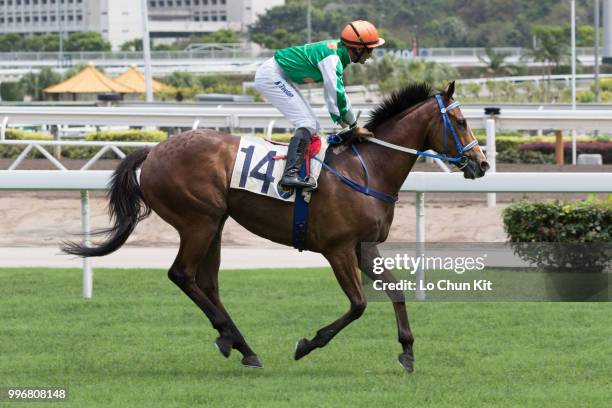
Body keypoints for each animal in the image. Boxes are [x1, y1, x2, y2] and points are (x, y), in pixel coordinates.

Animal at [63, 80, 488, 372]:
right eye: (462, 121)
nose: (481, 163)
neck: (367, 169)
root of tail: (153, 151)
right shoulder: (337, 248)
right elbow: (358, 304)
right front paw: (308, 344)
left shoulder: (364, 246)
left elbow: (396, 292)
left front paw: (408, 351)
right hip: (198, 219)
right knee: (182, 274)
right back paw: (232, 338)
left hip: (215, 223)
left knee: (207, 282)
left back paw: (239, 344)